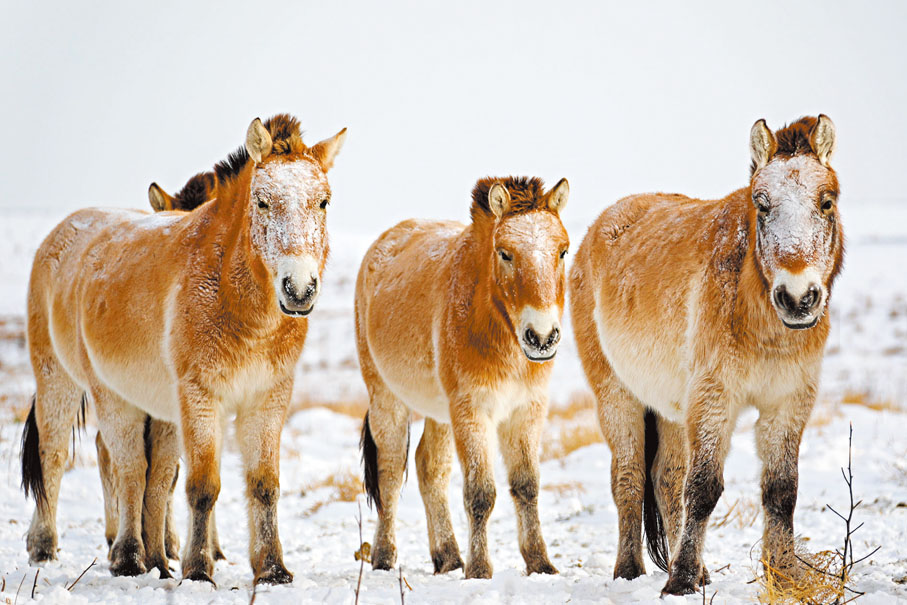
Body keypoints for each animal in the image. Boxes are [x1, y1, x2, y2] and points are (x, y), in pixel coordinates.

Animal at [21, 114, 347, 585]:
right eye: (262, 202)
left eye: (323, 202)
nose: (299, 289)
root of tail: (61, 235)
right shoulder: (199, 397)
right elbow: (201, 486)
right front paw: (197, 569)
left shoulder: (267, 398)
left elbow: (262, 484)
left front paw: (271, 568)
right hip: (73, 383)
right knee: (83, 459)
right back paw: (94, 553)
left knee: (143, 472)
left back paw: (150, 556)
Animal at [357, 176, 569, 578]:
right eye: (504, 253)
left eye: (563, 251)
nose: (542, 336)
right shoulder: (472, 410)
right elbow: (481, 493)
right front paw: (480, 569)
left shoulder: (526, 410)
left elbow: (526, 485)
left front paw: (540, 563)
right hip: (387, 399)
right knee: (391, 473)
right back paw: (384, 557)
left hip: (439, 413)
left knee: (429, 468)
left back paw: (448, 556)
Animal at [569, 115, 842, 595]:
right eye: (762, 204)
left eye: (826, 203)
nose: (796, 298)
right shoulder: (715, 398)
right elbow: (703, 488)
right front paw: (678, 583)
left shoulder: (788, 403)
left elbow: (781, 489)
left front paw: (783, 574)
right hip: (617, 397)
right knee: (629, 479)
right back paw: (630, 571)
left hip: (672, 407)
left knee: (666, 477)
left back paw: (699, 570)